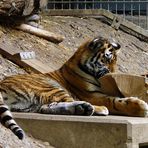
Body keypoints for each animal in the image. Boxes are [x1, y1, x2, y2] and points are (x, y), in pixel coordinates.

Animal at [0, 35, 147, 138]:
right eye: (106, 59)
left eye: (115, 61)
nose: (113, 73)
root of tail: (2, 84)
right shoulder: (92, 95)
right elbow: (114, 100)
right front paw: (140, 106)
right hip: (51, 86)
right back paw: (95, 108)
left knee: (46, 107)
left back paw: (82, 109)